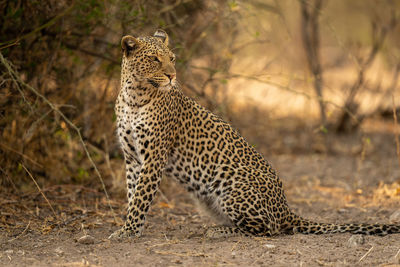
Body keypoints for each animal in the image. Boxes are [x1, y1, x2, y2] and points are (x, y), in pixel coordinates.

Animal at [108, 29, 398, 241]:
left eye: (172, 58)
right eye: (154, 59)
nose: (172, 75)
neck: (134, 96)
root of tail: (285, 209)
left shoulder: (154, 157)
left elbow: (141, 196)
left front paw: (128, 231)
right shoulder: (132, 158)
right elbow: (133, 194)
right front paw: (131, 228)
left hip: (232, 185)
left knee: (267, 229)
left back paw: (217, 231)